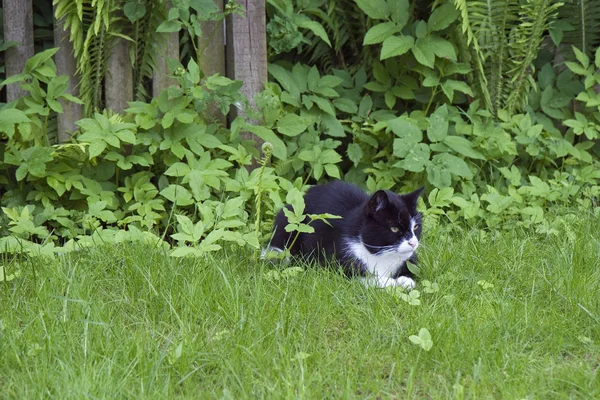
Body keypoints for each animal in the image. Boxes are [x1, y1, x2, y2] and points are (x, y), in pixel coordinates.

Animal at [264, 181, 424, 290]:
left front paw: (405, 280)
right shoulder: (334, 262)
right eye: (394, 228)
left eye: (415, 226)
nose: (413, 243)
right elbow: (357, 276)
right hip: (288, 219)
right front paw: (387, 282)